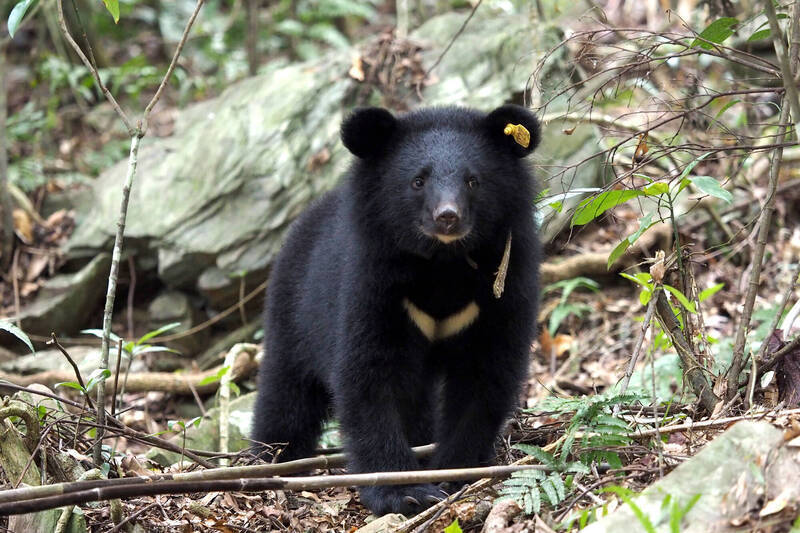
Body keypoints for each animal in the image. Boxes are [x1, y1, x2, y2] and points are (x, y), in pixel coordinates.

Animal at [255, 105, 544, 516]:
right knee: (287, 393)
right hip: (295, 312)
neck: (442, 264)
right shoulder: (374, 284)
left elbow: (485, 375)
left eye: (473, 181)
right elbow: (370, 376)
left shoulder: (502, 286)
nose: (447, 217)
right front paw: (404, 491)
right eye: (417, 181)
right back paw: (274, 459)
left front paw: (451, 473)